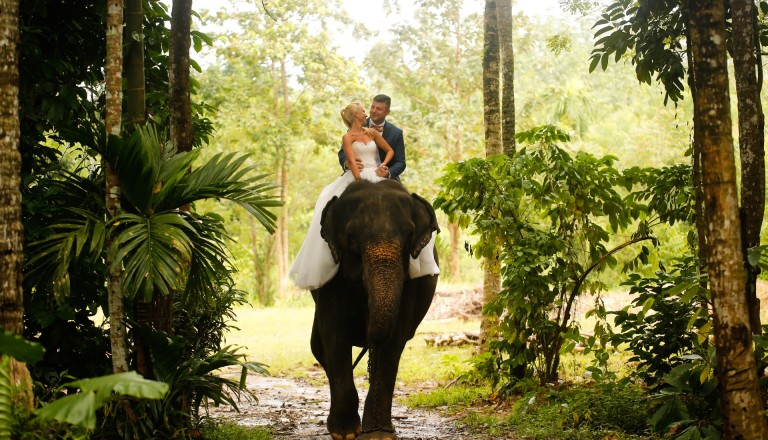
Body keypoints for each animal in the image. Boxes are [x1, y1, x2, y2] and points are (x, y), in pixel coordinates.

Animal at [310, 180, 440, 440]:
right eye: (351, 239)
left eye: (410, 236)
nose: (365, 316)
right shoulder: (333, 277)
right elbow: (334, 332)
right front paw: (345, 433)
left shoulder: (408, 281)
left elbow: (394, 340)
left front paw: (378, 434)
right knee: (318, 348)